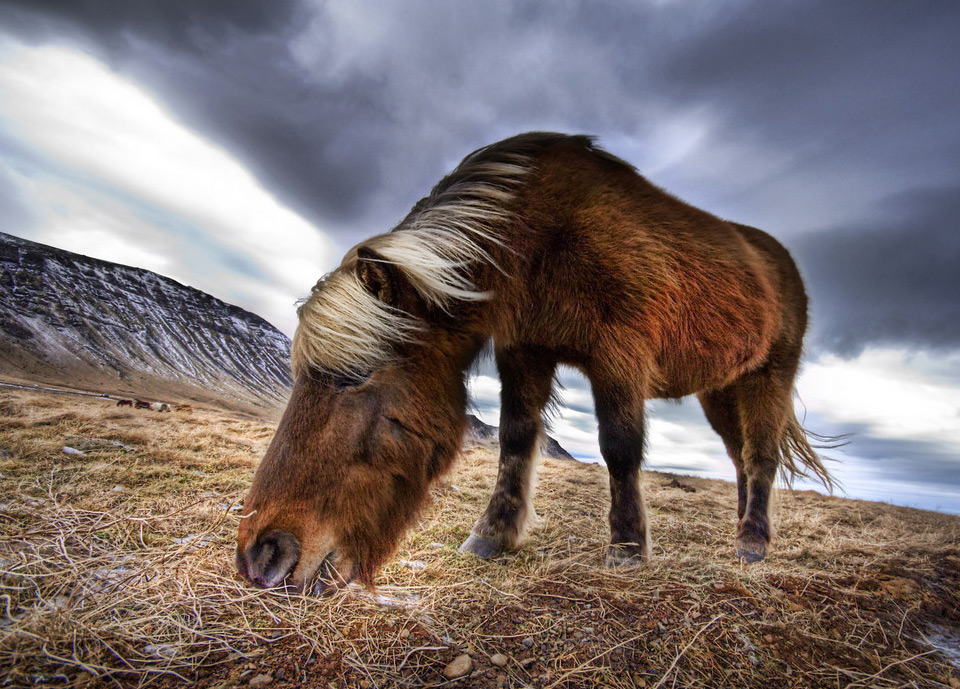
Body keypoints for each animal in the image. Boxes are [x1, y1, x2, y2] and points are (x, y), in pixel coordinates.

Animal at [236, 132, 832, 593]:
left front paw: (627, 548)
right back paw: (743, 531)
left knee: (759, 456)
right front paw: (492, 535)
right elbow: (516, 438)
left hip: (768, 379)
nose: (260, 555)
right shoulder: (524, 350)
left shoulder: (619, 357)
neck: (543, 237)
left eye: (353, 379)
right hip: (720, 390)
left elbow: (619, 447)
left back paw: (752, 543)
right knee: (740, 458)